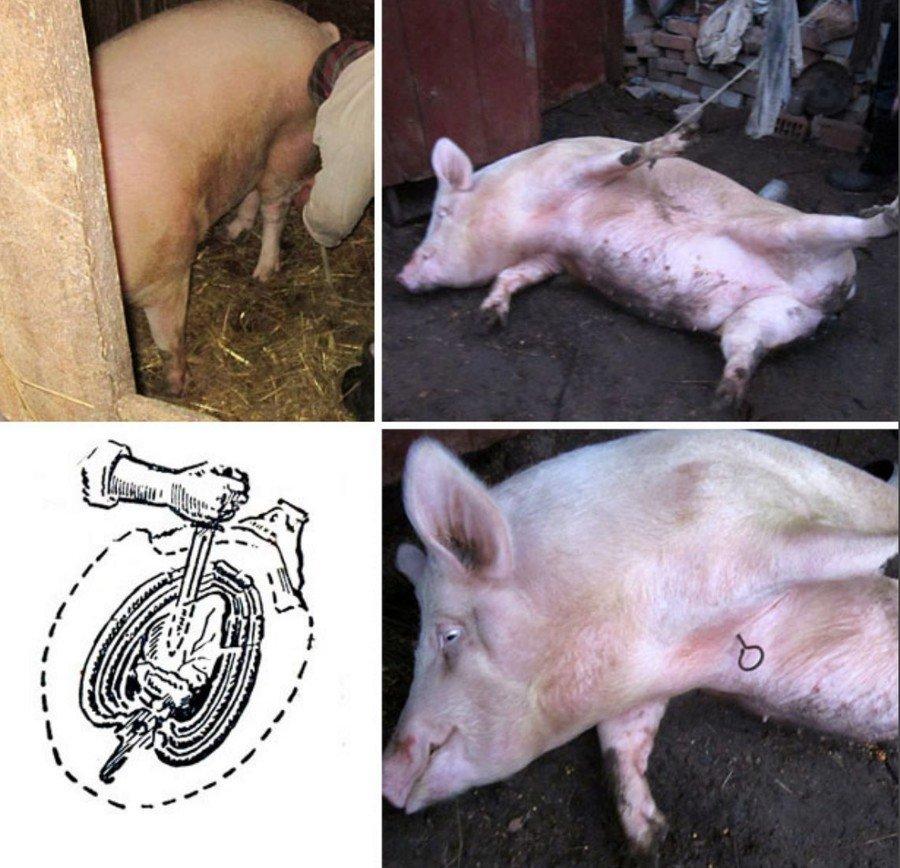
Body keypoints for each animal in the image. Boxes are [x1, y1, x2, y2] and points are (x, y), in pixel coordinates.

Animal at [92, 0, 337, 394]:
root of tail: (318, 30)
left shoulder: (169, 268)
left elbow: (169, 337)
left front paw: (175, 386)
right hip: (250, 148)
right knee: (250, 191)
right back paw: (231, 232)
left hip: (289, 142)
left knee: (275, 207)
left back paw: (262, 273)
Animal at [382, 431, 898, 856]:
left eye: (449, 635)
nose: (386, 779)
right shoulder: (642, 687)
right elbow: (619, 743)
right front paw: (651, 839)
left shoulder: (746, 525)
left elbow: (842, 547)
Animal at [397, 133, 898, 410]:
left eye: (442, 212)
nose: (400, 276)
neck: (532, 218)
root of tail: (836, 298)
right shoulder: (554, 256)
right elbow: (513, 276)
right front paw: (488, 320)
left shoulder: (569, 176)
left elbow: (623, 159)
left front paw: (674, 142)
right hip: (771, 315)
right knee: (746, 351)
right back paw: (725, 401)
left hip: (790, 232)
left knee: (856, 229)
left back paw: (886, 214)